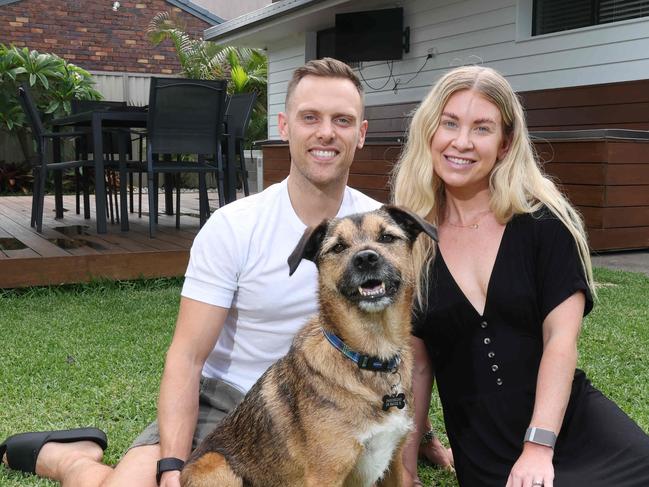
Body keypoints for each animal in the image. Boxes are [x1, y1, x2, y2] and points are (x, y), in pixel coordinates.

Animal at [180, 206, 438, 487]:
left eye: (387, 237)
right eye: (338, 247)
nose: (366, 259)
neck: (371, 357)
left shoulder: (394, 462)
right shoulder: (326, 474)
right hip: (216, 466)